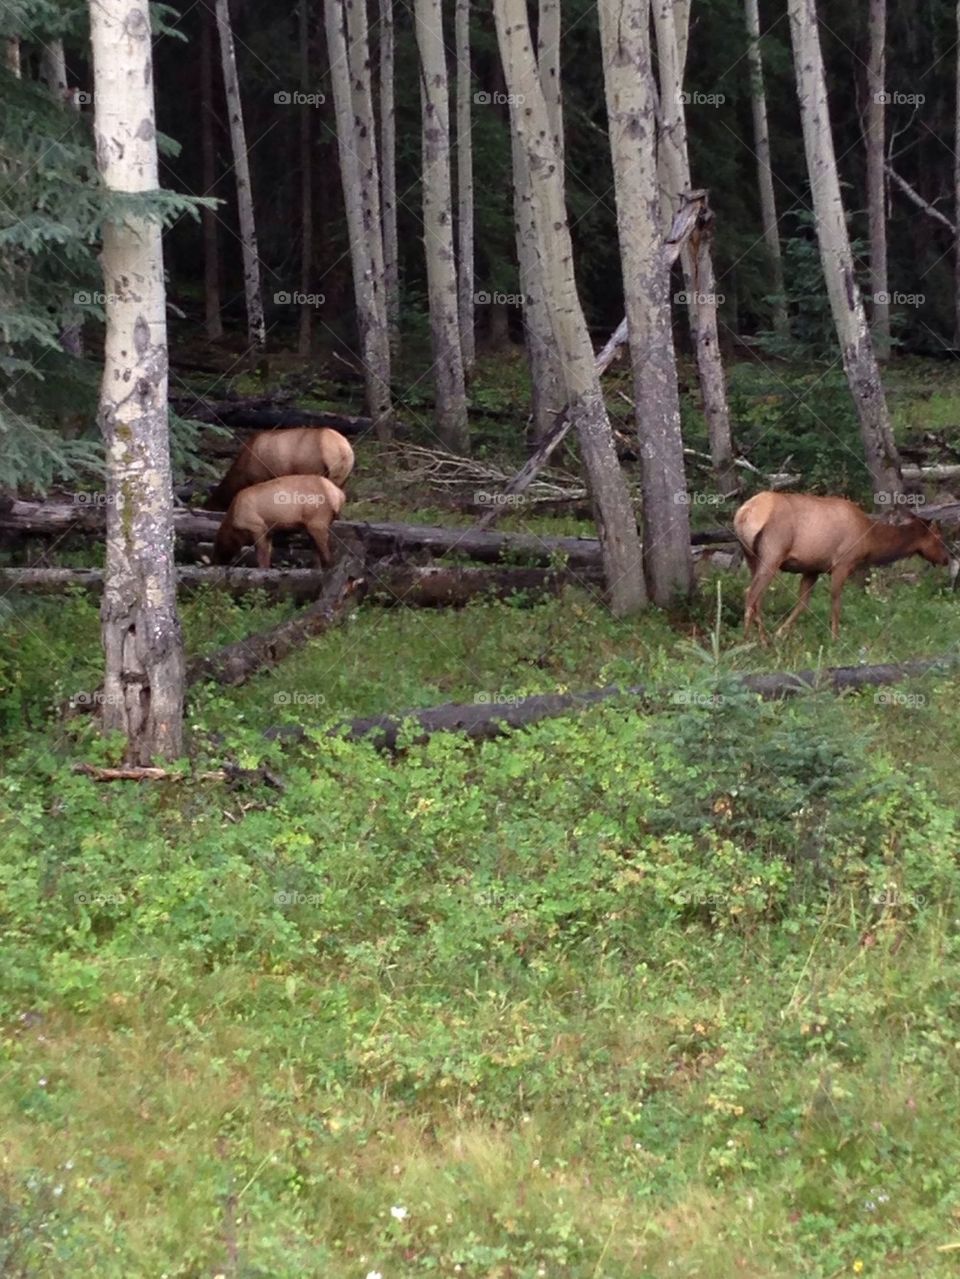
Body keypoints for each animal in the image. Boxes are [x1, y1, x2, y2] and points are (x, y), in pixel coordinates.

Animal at [733, 490, 950, 641]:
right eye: (939, 538)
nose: (946, 559)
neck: (870, 541)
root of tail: (744, 513)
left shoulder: (812, 568)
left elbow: (803, 604)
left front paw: (780, 633)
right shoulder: (842, 564)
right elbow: (836, 601)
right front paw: (835, 637)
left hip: (751, 556)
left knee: (757, 598)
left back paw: (763, 639)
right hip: (773, 553)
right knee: (751, 593)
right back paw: (751, 641)